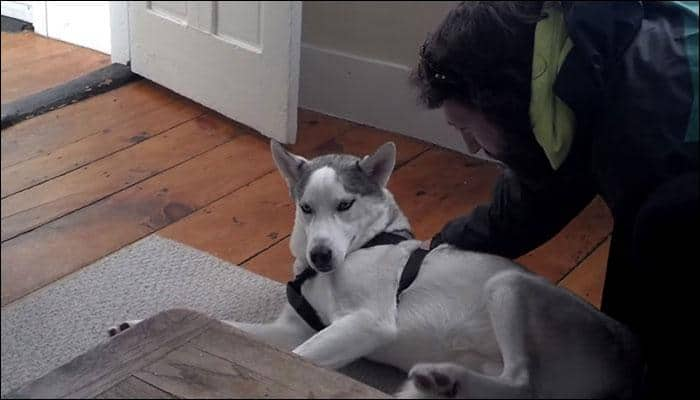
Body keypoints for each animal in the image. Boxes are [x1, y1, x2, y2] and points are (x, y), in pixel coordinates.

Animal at [110, 142, 644, 398]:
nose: (321, 256)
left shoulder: (367, 322)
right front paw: (134, 325)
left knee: (522, 383)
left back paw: (439, 385)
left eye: (346, 205)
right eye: (305, 208)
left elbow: (299, 358)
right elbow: (224, 328)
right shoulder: (289, 330)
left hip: (508, 285)